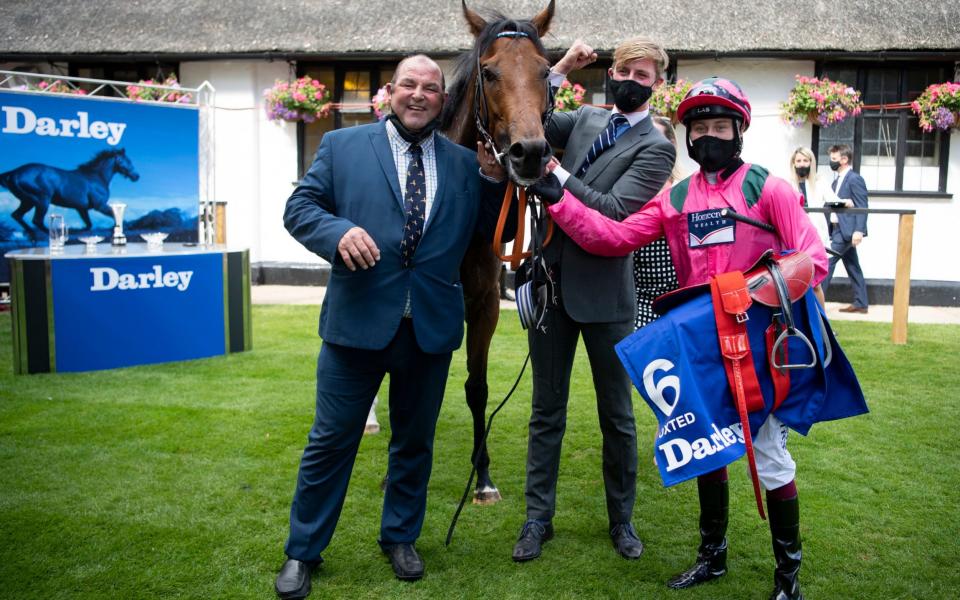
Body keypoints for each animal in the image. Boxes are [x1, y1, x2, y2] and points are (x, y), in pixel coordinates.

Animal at [0, 146, 139, 238]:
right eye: (128, 161)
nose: (136, 176)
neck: (96, 177)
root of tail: (15, 172)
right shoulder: (99, 206)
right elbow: (114, 216)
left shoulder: (82, 209)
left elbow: (88, 225)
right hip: (41, 200)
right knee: (37, 221)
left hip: (27, 201)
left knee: (17, 215)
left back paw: (33, 236)